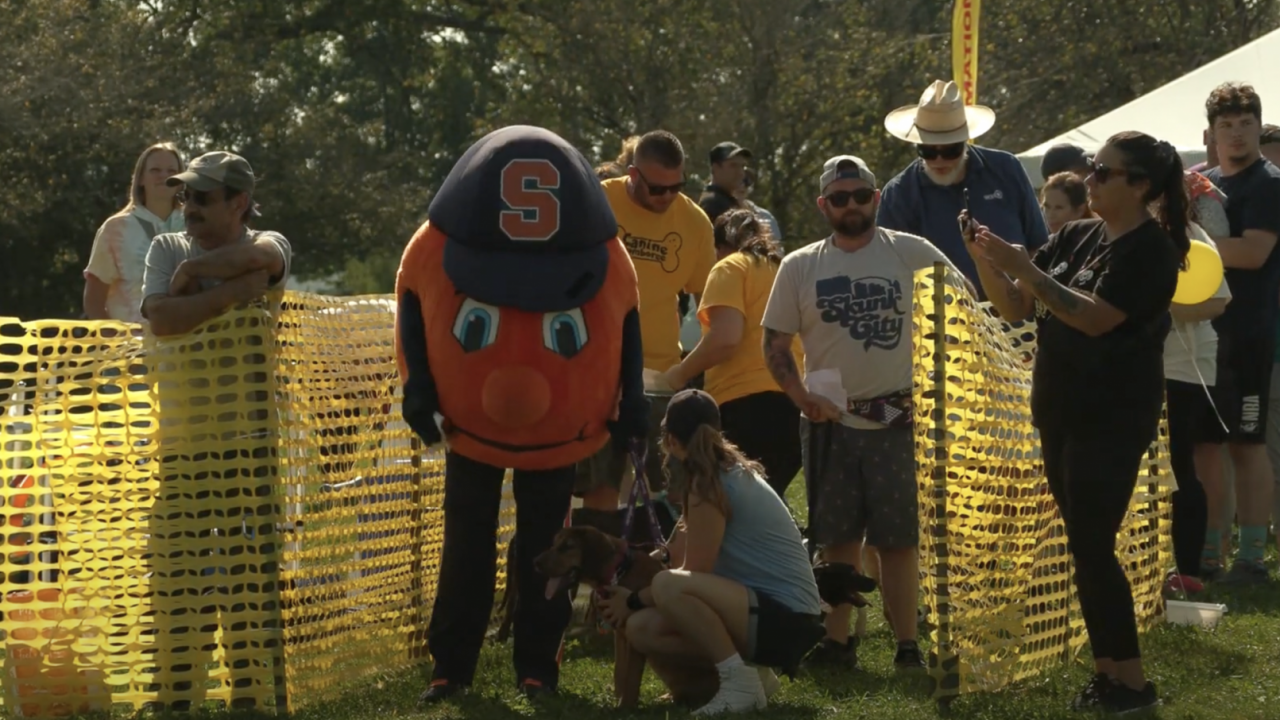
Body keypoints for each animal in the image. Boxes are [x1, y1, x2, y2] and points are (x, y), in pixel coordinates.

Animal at [535, 525, 665, 702]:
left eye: (568, 546)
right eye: (554, 544)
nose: (536, 562)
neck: (621, 571)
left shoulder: (631, 641)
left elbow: (630, 680)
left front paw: (624, 706)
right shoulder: (621, 636)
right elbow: (620, 672)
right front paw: (617, 699)